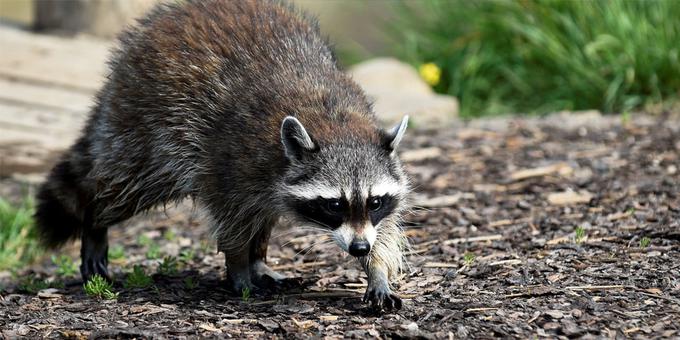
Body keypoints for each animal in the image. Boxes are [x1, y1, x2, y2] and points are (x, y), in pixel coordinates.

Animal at [34, 0, 410, 310]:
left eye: (375, 201)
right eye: (334, 204)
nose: (358, 249)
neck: (334, 122)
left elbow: (384, 230)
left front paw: (378, 270)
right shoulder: (231, 161)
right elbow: (231, 222)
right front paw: (238, 267)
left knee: (263, 213)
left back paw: (260, 259)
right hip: (147, 126)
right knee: (127, 186)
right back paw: (95, 222)